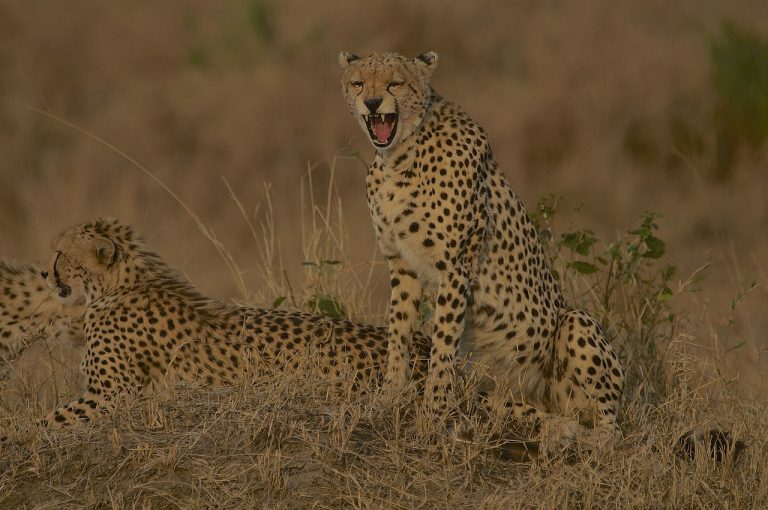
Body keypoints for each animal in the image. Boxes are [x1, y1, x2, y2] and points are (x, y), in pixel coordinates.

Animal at [339, 50, 625, 452]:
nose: (373, 102)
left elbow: (443, 348)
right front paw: (388, 398)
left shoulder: (455, 267)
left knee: (610, 428)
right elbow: (399, 333)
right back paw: (551, 428)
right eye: (358, 83)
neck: (399, 154)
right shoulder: (401, 264)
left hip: (574, 322)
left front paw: (430, 419)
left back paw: (577, 437)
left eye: (394, 83)